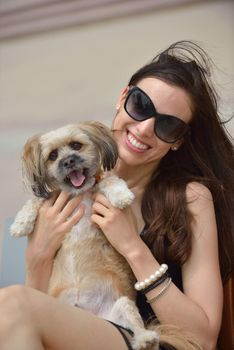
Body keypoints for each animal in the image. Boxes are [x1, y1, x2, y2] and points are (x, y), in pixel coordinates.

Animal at [10, 121, 159, 350]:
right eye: (52, 155)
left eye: (76, 145)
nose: (68, 161)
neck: (78, 194)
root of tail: (91, 313)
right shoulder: (51, 199)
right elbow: (35, 201)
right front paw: (20, 223)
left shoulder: (101, 183)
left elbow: (111, 181)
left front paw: (121, 196)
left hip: (123, 306)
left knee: (136, 325)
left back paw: (145, 339)